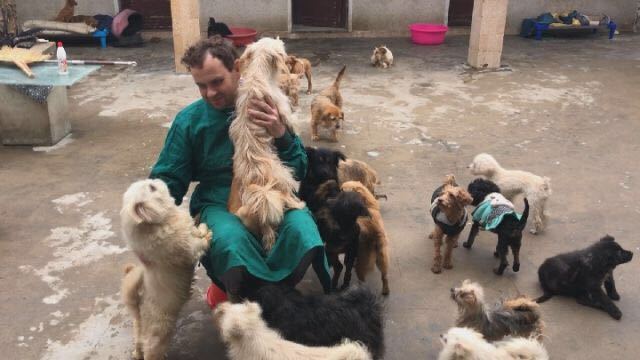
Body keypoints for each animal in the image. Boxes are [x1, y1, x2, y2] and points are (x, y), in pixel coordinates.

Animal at [122, 179, 215, 358]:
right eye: (152, 188)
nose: (156, 179)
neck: (161, 222)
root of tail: (139, 309)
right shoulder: (190, 249)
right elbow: (199, 242)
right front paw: (206, 232)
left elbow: (193, 228)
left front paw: (199, 224)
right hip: (159, 336)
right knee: (149, 351)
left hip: (139, 331)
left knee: (138, 345)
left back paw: (136, 353)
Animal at [229, 36, 306, 250]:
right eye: (282, 49)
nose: (288, 58)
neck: (258, 73)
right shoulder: (281, 107)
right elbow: (292, 119)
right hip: (285, 175)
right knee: (288, 195)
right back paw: (299, 204)